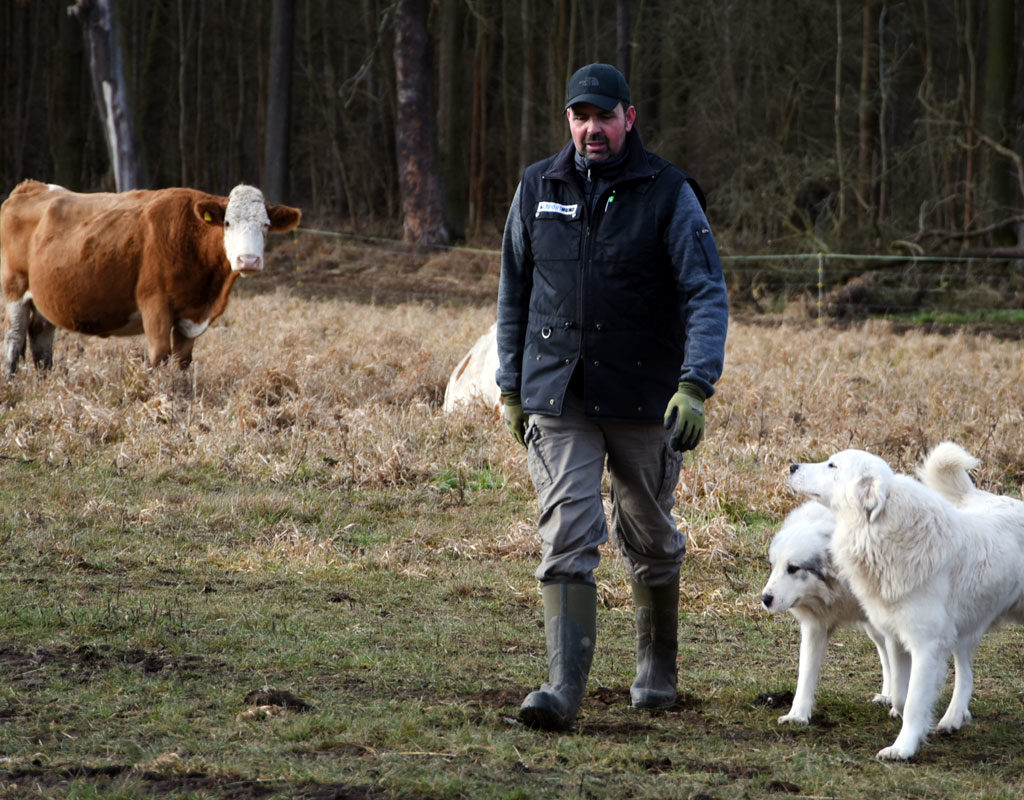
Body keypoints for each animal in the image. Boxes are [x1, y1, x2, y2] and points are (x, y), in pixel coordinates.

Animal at [1, 181, 299, 374]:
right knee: (14, 340)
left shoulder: (190, 315)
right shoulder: (155, 304)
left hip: (46, 299)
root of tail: (31, 186)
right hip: (15, 289)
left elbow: (182, 361)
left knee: (41, 341)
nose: (248, 260)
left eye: (266, 225)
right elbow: (159, 356)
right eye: (227, 223)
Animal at [761, 501, 897, 725]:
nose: (765, 599)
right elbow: (806, 674)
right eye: (774, 566)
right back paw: (888, 696)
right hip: (875, 630)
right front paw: (797, 716)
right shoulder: (815, 627)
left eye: (793, 568)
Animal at [786, 446, 1024, 758]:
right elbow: (901, 693)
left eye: (832, 466)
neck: (883, 532)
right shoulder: (896, 639)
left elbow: (913, 702)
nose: (791, 466)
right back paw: (953, 718)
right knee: (966, 673)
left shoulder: (926, 645)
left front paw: (903, 748)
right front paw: (903, 716)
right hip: (962, 631)